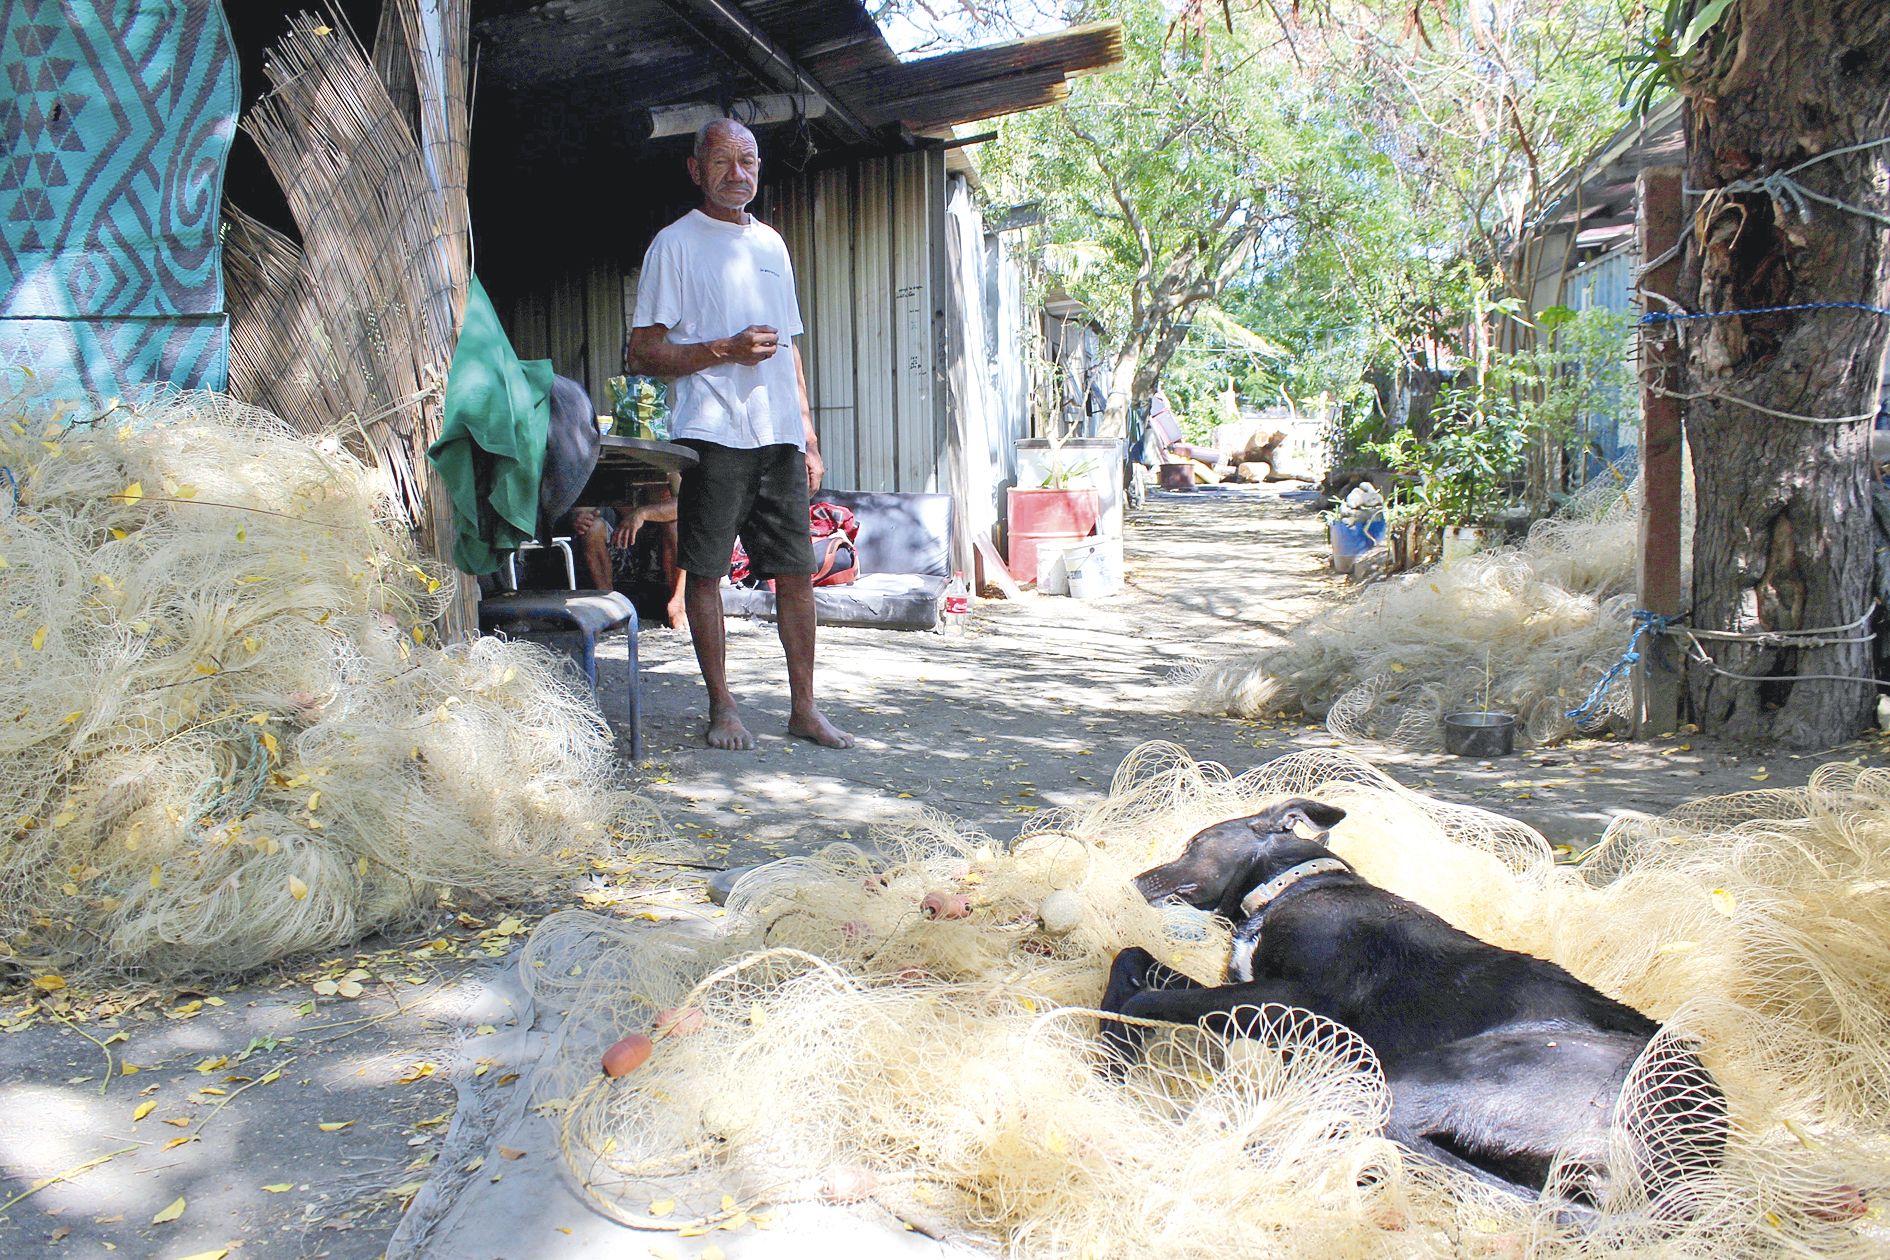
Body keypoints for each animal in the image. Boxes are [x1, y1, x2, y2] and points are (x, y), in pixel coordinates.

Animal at [1096, 797, 1731, 1201]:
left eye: (1194, 844)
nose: (1129, 882)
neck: (1292, 888)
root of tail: (1693, 1156)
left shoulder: (1299, 1001)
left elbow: (1146, 1002)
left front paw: (1118, 1049)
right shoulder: (1244, 992)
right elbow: (1131, 956)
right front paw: (1108, 1046)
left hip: (1420, 1077)